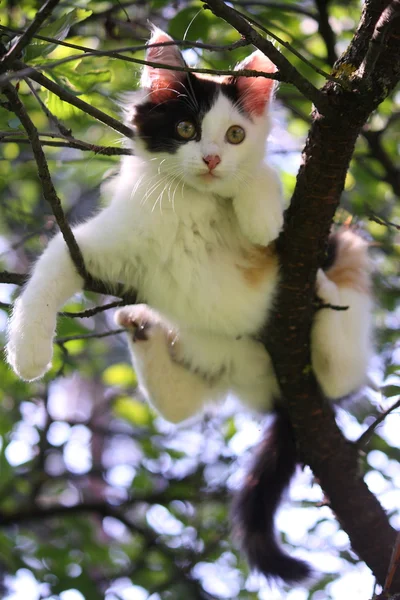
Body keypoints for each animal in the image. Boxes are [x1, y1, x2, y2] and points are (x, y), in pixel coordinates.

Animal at [6, 28, 374, 584]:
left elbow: (266, 186)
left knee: (341, 371)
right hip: (207, 347)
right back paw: (140, 328)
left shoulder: (298, 231)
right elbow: (45, 274)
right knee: (179, 408)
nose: (213, 160)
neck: (191, 207)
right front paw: (28, 354)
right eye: (185, 128)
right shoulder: (95, 244)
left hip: (341, 252)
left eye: (236, 136)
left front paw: (258, 212)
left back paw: (326, 298)